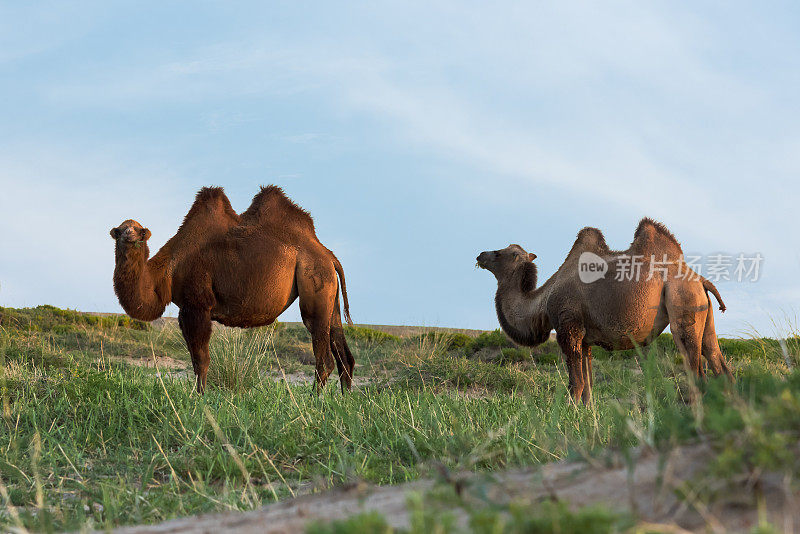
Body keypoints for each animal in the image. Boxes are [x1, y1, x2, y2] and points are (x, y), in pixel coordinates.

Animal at [111, 187, 354, 394]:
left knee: (324, 357)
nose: (129, 236)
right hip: (329, 295)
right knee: (344, 355)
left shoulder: (197, 306)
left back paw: (314, 401)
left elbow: (201, 359)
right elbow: (194, 358)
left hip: (315, 282)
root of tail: (328, 255)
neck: (169, 268)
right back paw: (344, 402)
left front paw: (199, 398)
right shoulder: (184, 312)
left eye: (139, 231)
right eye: (121, 229)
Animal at [478, 218, 736, 406]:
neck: (543, 301)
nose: (480, 255)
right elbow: (588, 386)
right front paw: (587, 416)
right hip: (703, 311)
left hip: (682, 303)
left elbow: (576, 384)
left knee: (696, 371)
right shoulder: (585, 339)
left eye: (499, 253)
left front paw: (568, 417)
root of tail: (700, 279)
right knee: (718, 361)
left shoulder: (567, 327)